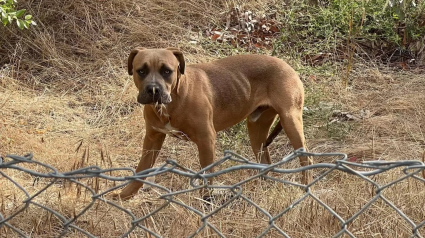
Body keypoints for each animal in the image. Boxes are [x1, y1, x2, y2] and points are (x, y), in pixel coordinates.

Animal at [117, 47, 314, 199]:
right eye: (141, 71)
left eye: (167, 71)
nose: (153, 90)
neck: (174, 98)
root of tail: (288, 66)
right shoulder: (152, 139)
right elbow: (141, 170)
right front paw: (124, 195)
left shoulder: (206, 140)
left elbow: (207, 175)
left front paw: (206, 201)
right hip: (256, 130)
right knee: (265, 160)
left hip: (290, 120)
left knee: (306, 157)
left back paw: (305, 190)